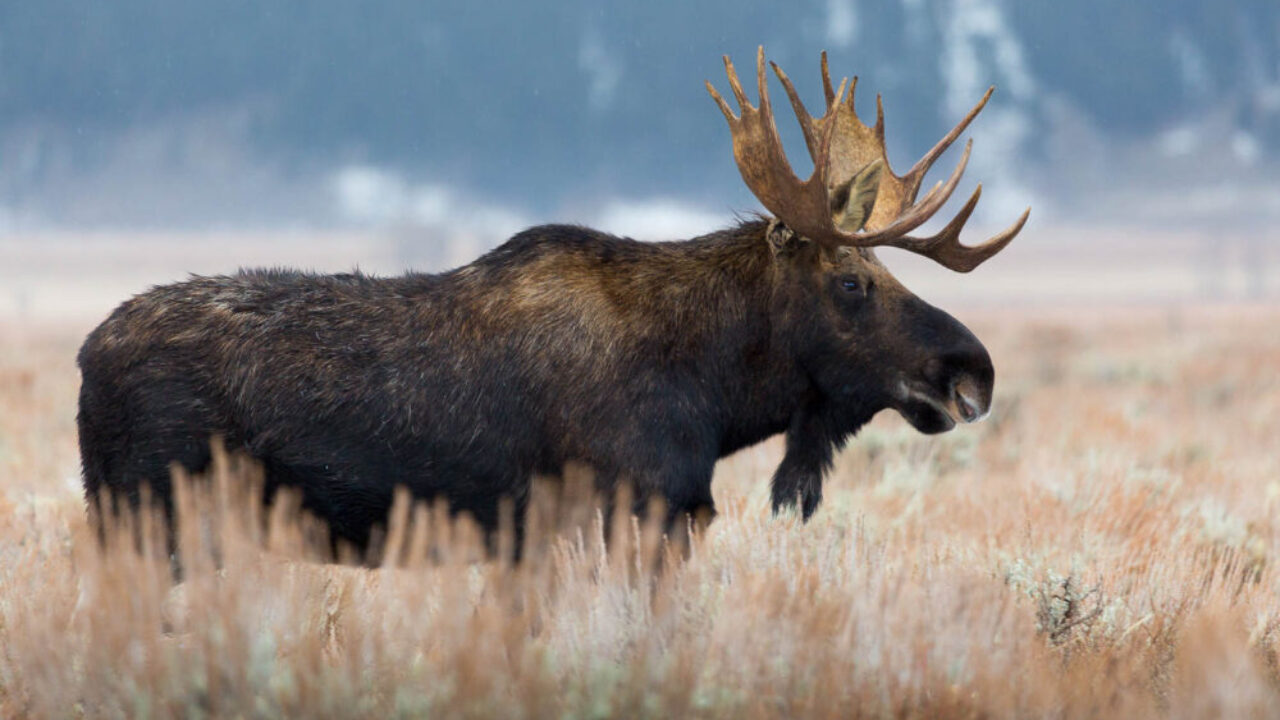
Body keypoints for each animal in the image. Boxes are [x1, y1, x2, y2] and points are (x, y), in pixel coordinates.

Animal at [77, 48, 1028, 556]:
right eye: (852, 282)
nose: (972, 371)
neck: (717, 391)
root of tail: (86, 358)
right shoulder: (632, 505)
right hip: (150, 514)